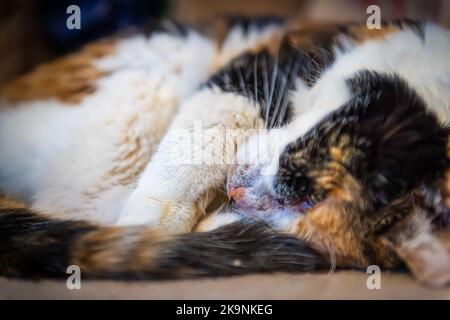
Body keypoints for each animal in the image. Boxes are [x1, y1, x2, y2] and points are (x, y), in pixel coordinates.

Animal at [0, 18, 450, 286]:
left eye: (301, 207)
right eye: (300, 158)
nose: (235, 189)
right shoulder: (263, 66)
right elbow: (203, 138)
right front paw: (153, 222)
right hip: (156, 69)